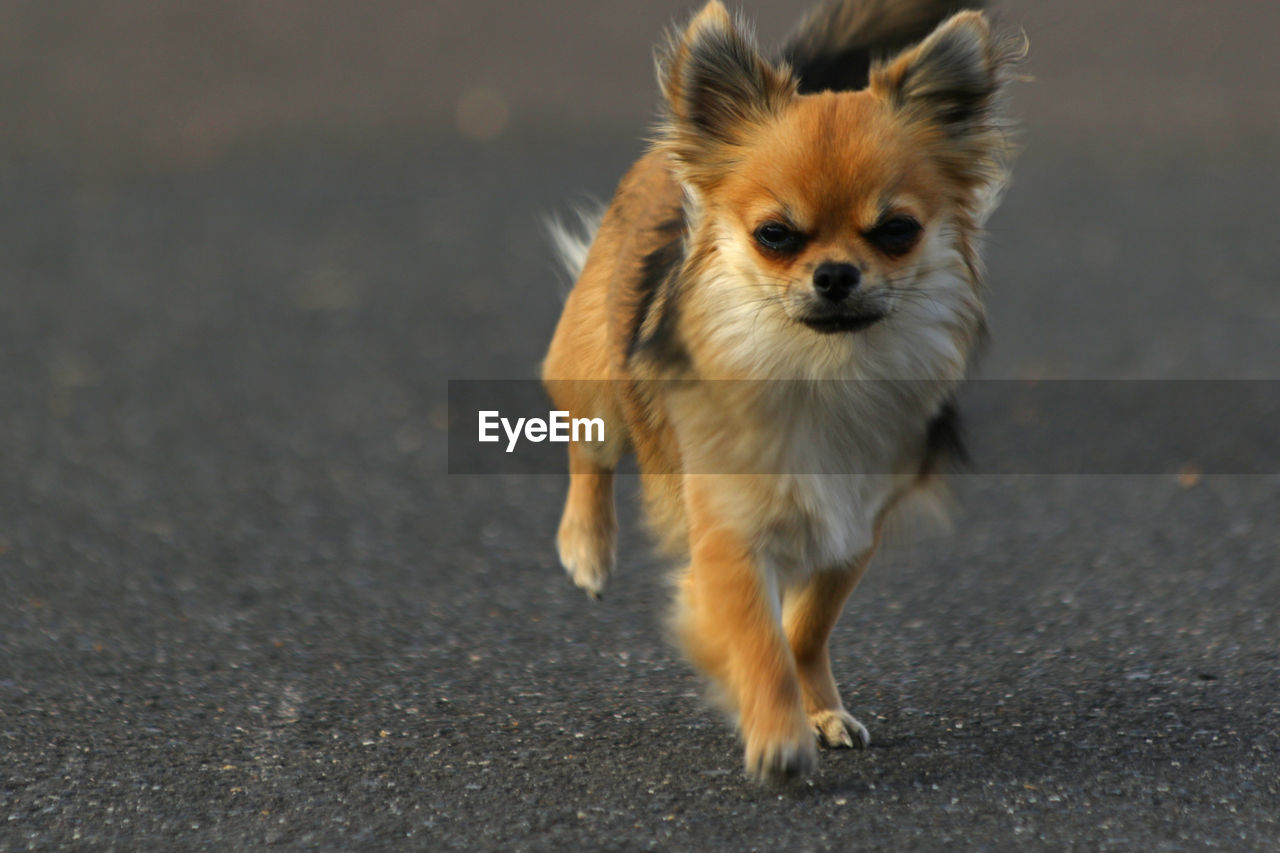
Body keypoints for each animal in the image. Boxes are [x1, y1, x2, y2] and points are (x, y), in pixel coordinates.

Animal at [540, 0, 1018, 778]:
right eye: (775, 235)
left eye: (897, 231)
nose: (836, 273)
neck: (820, 369)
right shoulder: (730, 533)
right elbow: (756, 637)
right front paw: (776, 731)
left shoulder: (853, 527)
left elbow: (805, 627)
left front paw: (816, 709)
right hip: (597, 371)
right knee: (590, 443)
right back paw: (587, 547)